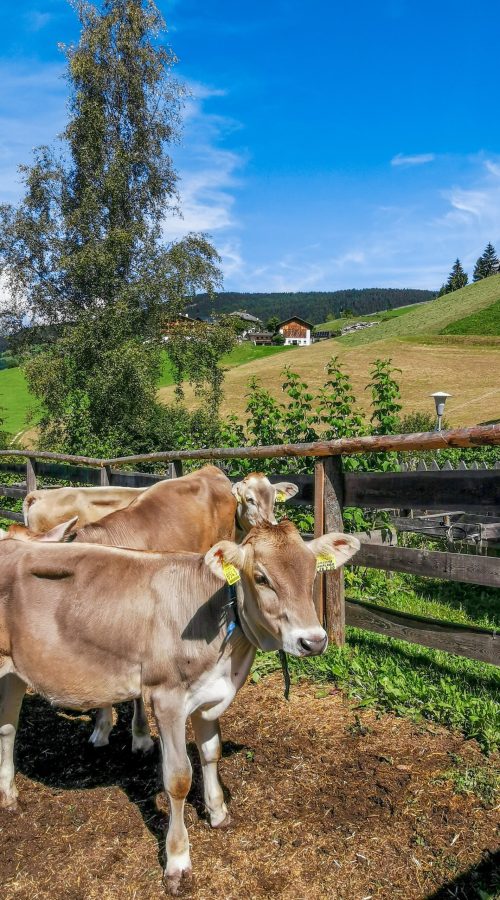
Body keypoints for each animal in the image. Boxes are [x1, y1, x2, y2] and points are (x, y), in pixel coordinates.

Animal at [0, 520, 360, 892]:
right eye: (261, 578)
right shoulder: (167, 699)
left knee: (7, 727)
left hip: (14, 671)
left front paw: (218, 813)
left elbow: (211, 752)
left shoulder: (208, 695)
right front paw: (177, 861)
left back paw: (9, 796)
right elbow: (178, 778)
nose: (313, 641)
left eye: (312, 573)